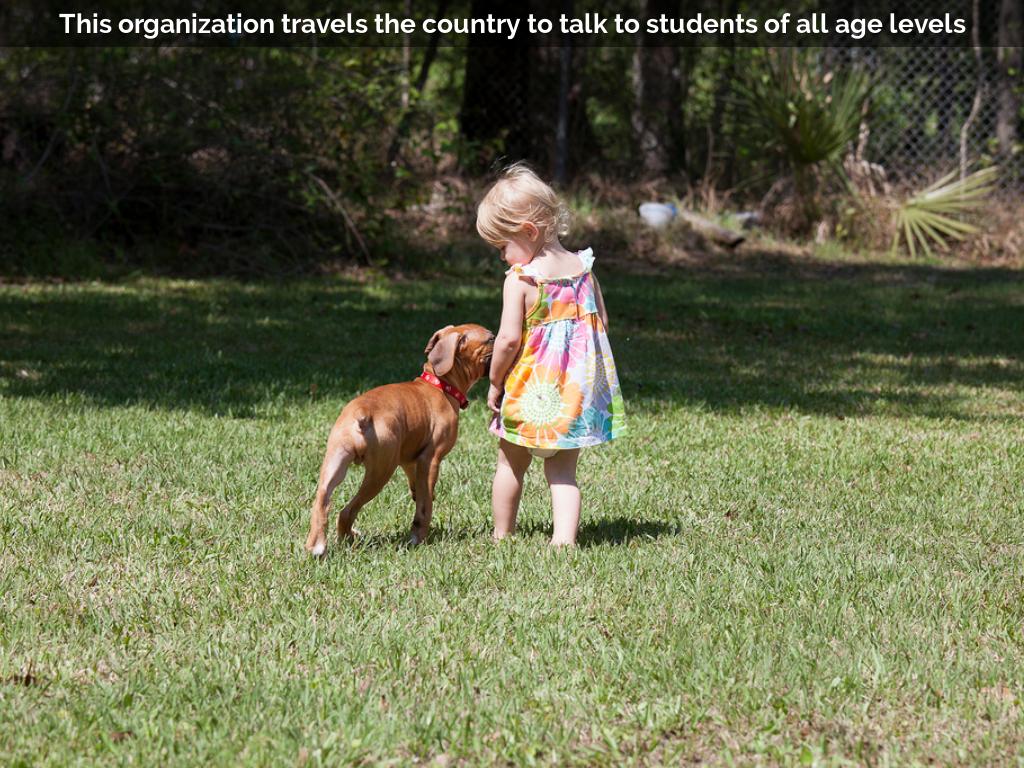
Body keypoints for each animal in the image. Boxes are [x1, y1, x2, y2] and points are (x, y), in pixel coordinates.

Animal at [305, 324, 494, 555]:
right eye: (490, 339)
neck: (439, 385)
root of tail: (361, 412)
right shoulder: (430, 459)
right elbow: (424, 504)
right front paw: (418, 535)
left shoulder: (409, 460)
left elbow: (418, 487)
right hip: (381, 471)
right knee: (349, 509)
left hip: (335, 461)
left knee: (323, 500)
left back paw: (319, 545)